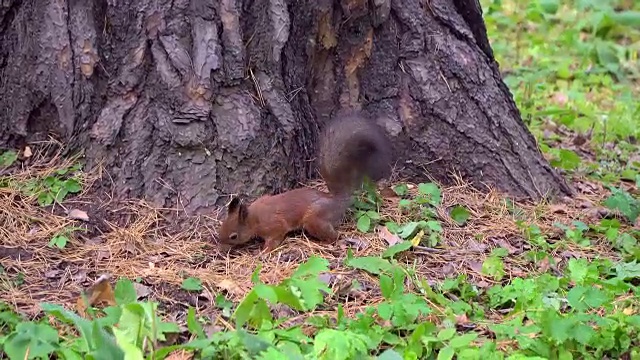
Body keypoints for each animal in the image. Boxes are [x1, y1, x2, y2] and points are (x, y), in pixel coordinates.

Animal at [218, 112, 392, 253]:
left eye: (233, 236)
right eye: (222, 227)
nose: (220, 249)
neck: (254, 217)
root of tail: (337, 201)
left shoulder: (275, 226)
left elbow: (276, 237)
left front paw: (264, 251)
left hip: (314, 219)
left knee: (334, 235)